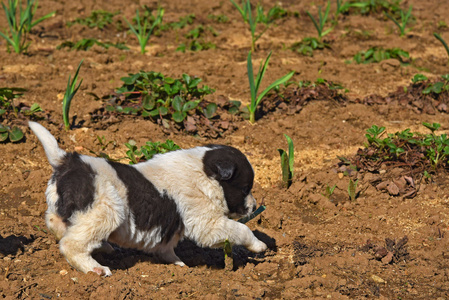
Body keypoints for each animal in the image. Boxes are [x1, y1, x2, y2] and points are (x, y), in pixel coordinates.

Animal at [28, 120, 266, 276]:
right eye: (245, 188)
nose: (255, 205)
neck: (205, 172)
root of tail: (67, 161)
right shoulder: (208, 224)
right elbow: (242, 229)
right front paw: (260, 246)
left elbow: (166, 248)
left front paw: (179, 264)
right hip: (105, 211)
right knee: (71, 244)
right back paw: (95, 268)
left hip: (68, 210)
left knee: (58, 225)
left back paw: (103, 247)